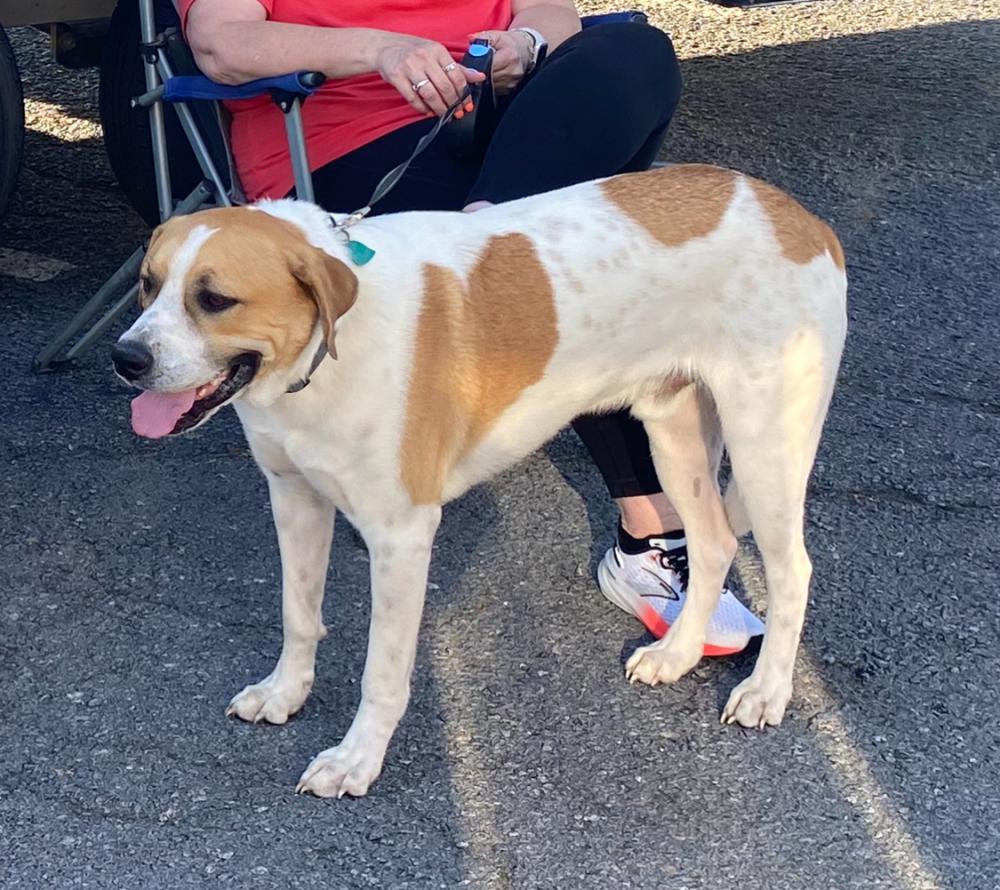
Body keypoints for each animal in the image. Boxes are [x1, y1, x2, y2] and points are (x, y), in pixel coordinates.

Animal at [112, 164, 847, 798]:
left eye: (215, 299)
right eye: (146, 285)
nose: (125, 358)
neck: (326, 355)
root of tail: (799, 216)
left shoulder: (401, 536)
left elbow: (383, 670)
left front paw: (357, 759)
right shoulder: (294, 498)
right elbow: (299, 615)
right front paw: (285, 693)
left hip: (766, 446)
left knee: (793, 571)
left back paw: (767, 690)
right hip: (675, 434)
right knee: (716, 544)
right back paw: (678, 654)